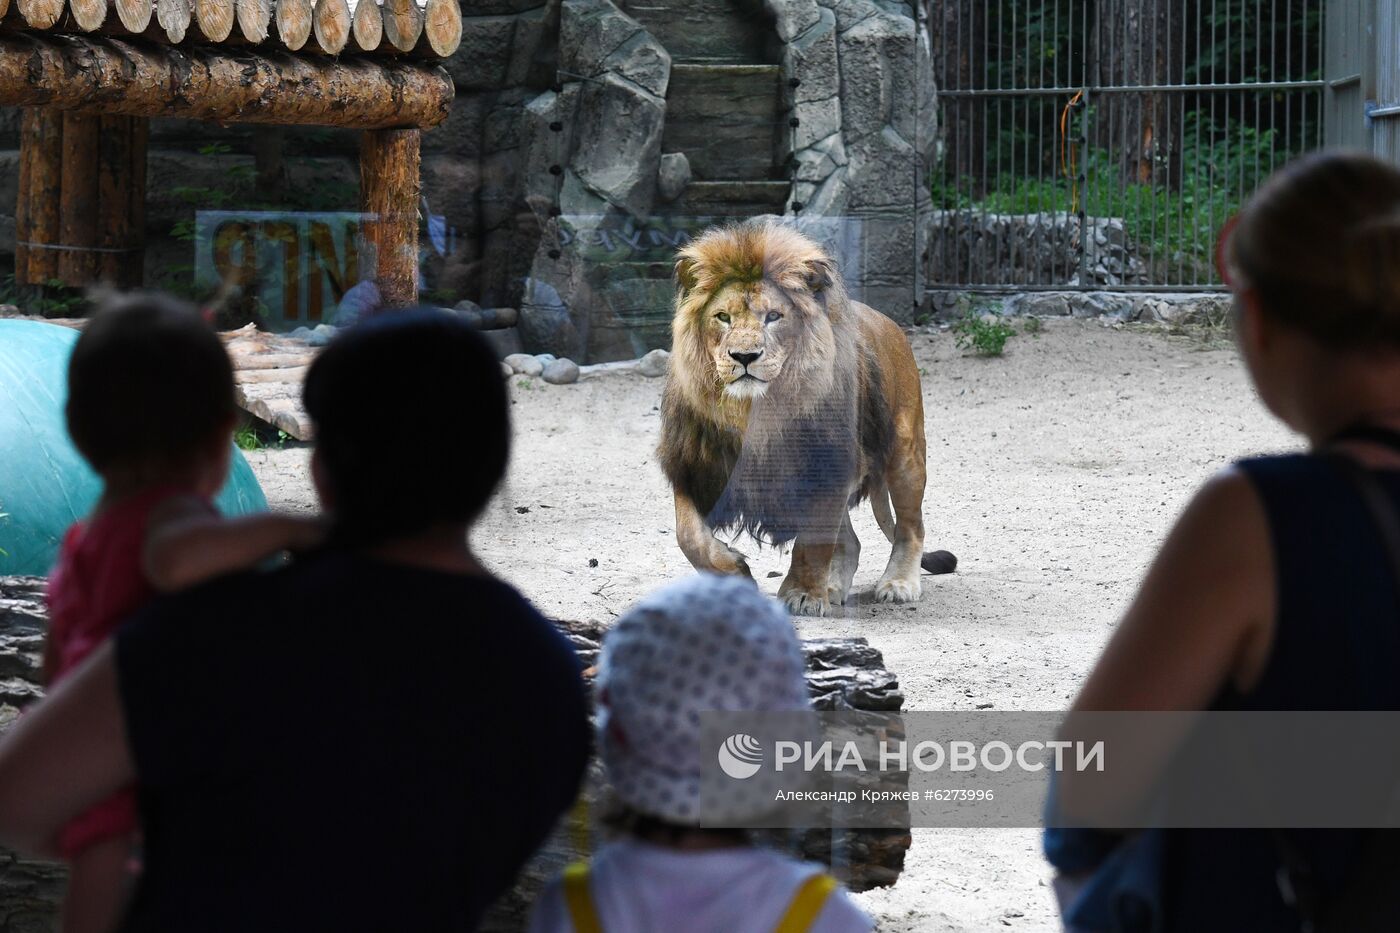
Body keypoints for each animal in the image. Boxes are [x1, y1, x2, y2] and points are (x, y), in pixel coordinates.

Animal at [658, 215, 940, 610]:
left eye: (774, 316)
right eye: (723, 317)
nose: (744, 356)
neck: (753, 413)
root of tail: (888, 322)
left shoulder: (828, 465)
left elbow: (812, 543)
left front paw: (803, 593)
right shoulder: (693, 464)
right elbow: (689, 536)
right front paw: (736, 574)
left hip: (905, 454)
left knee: (910, 527)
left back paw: (897, 583)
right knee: (851, 541)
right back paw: (834, 588)